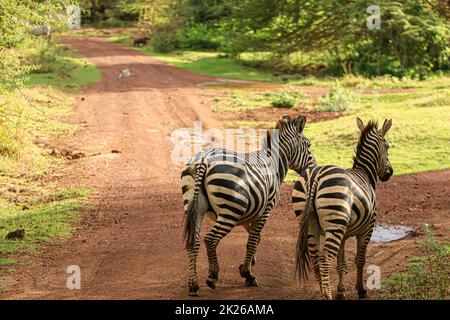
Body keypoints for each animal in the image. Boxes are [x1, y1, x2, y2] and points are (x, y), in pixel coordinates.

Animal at [181, 114, 314, 296]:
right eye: (308, 145)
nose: (313, 168)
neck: (273, 162)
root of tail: (204, 159)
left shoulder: (250, 212)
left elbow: (255, 237)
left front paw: (248, 264)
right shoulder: (265, 210)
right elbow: (253, 239)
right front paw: (248, 274)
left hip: (195, 208)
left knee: (193, 243)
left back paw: (193, 285)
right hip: (230, 211)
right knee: (210, 239)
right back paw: (212, 276)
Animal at [294, 117, 392, 300]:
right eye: (387, 146)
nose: (389, 173)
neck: (364, 172)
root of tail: (314, 179)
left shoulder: (344, 234)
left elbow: (341, 263)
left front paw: (341, 291)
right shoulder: (367, 228)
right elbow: (360, 260)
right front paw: (361, 290)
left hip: (312, 225)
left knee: (316, 259)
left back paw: (323, 291)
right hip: (335, 223)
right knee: (325, 259)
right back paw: (327, 295)